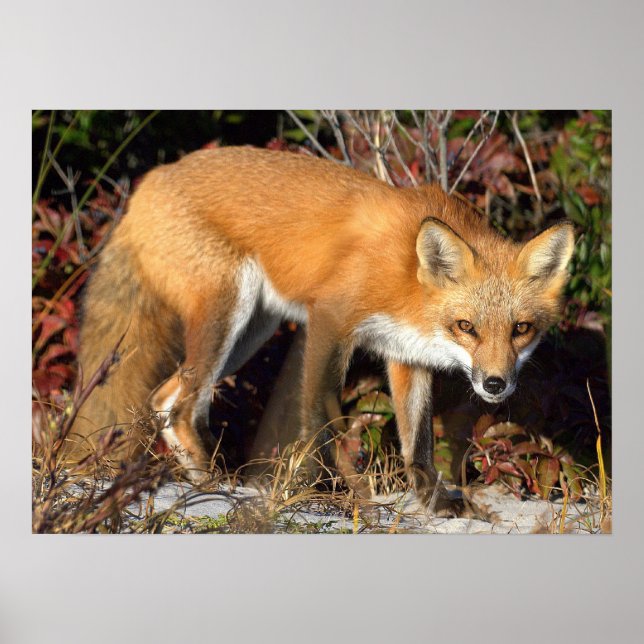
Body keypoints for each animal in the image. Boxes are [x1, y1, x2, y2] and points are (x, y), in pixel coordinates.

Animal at [68, 145, 574, 513]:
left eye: (521, 328)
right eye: (467, 326)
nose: (495, 384)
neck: (408, 276)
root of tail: (148, 184)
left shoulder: (406, 355)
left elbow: (419, 446)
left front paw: (434, 504)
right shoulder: (328, 321)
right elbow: (317, 423)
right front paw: (320, 492)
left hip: (250, 332)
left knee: (161, 399)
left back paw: (205, 486)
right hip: (226, 316)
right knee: (182, 406)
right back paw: (217, 490)